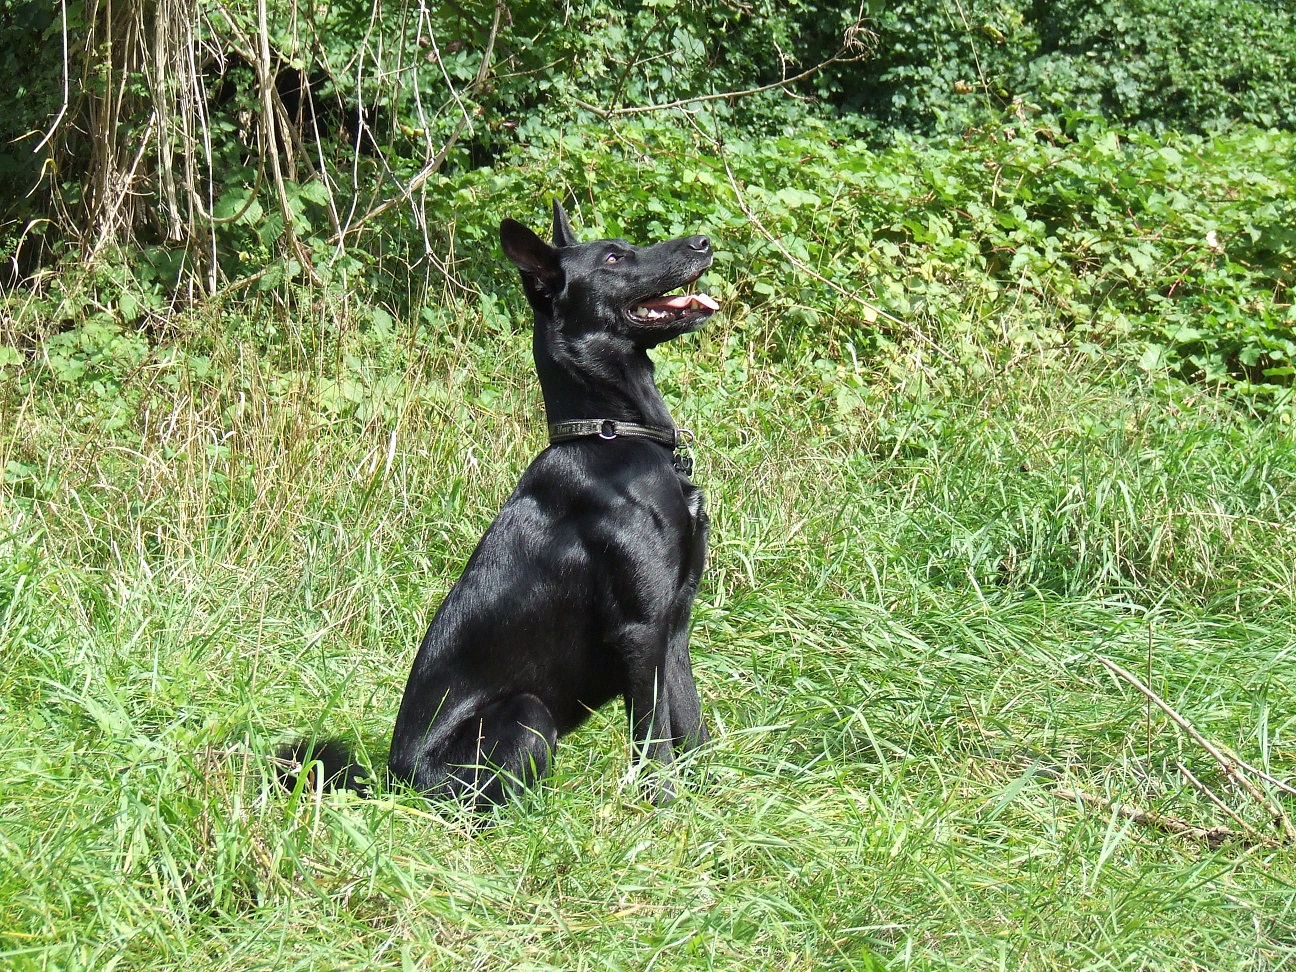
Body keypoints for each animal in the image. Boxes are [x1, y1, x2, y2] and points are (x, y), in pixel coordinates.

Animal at [286, 203, 720, 808]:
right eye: (614, 258)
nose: (704, 242)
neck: (612, 434)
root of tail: (393, 784)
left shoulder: (673, 626)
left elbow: (690, 722)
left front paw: (711, 803)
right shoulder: (639, 630)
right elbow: (654, 736)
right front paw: (660, 805)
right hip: (527, 715)